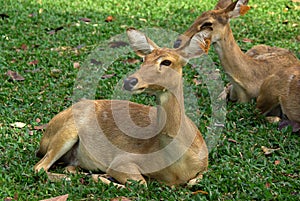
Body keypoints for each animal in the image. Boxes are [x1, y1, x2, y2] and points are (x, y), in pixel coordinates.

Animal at [34, 27, 209, 186]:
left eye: (167, 61)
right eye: (144, 59)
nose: (130, 81)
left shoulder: (205, 167)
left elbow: (194, 181)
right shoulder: (123, 160)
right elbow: (141, 183)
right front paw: (103, 177)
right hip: (66, 132)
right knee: (39, 167)